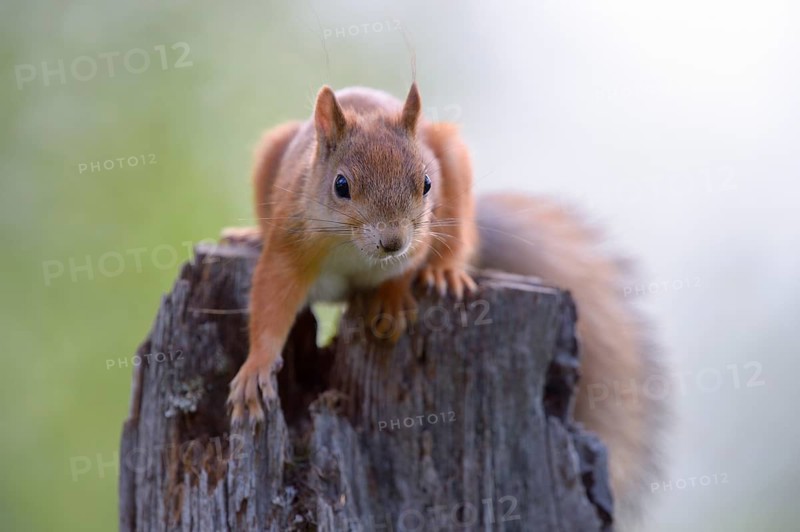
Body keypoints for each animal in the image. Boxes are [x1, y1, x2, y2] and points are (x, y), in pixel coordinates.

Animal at [226, 83, 666, 528]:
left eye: (425, 183)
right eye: (341, 185)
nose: (392, 241)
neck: (354, 252)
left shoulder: (419, 236)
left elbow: (404, 270)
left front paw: (390, 302)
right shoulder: (289, 243)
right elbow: (271, 302)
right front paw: (255, 370)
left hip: (452, 161)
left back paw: (445, 271)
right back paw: (248, 235)